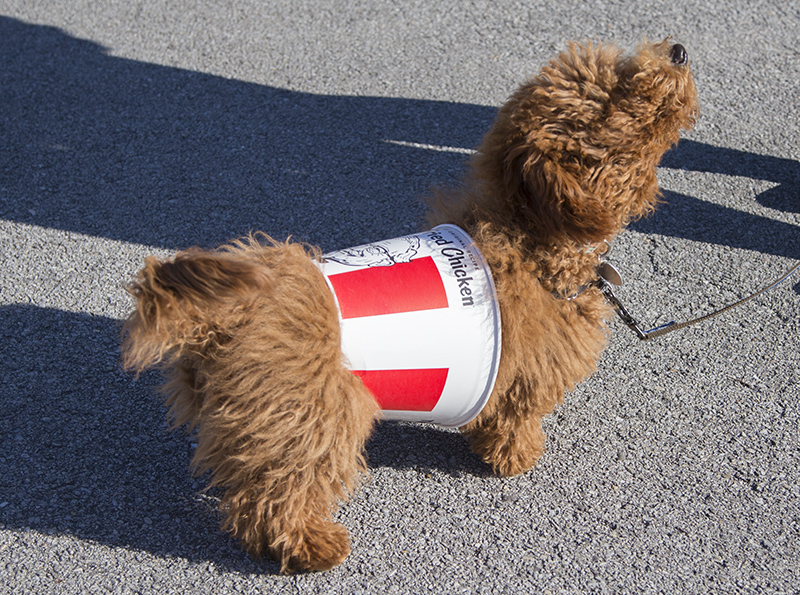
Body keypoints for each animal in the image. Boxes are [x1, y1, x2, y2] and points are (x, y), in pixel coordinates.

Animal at [122, 39, 696, 576]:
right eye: (617, 98)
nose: (678, 51)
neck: (532, 240)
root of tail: (226, 317)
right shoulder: (524, 373)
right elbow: (514, 417)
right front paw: (515, 457)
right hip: (311, 418)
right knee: (279, 495)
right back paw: (313, 547)